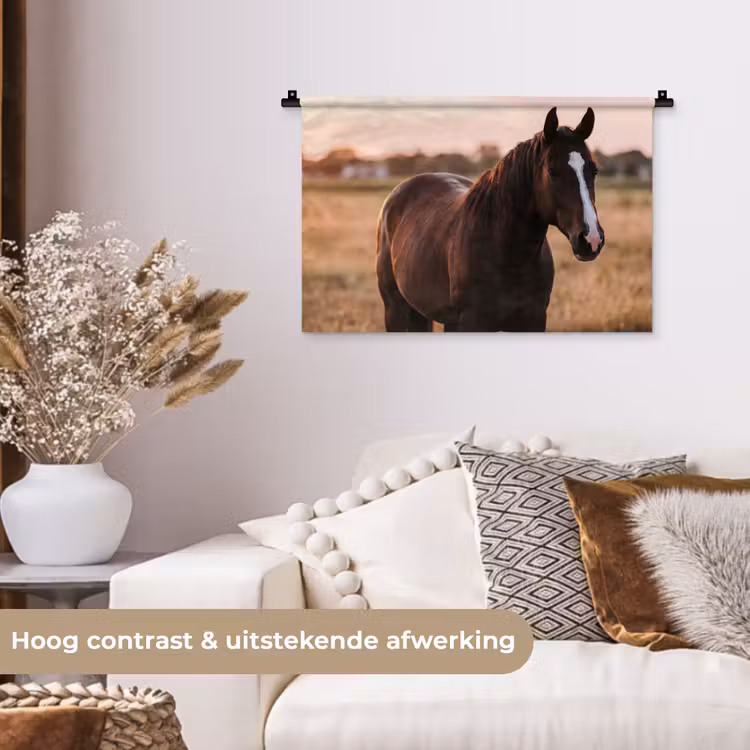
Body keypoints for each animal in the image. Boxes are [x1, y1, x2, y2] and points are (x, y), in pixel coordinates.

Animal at [375, 107, 605, 332]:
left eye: (594, 170)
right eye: (552, 170)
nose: (591, 239)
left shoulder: (533, 321)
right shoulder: (472, 322)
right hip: (395, 310)